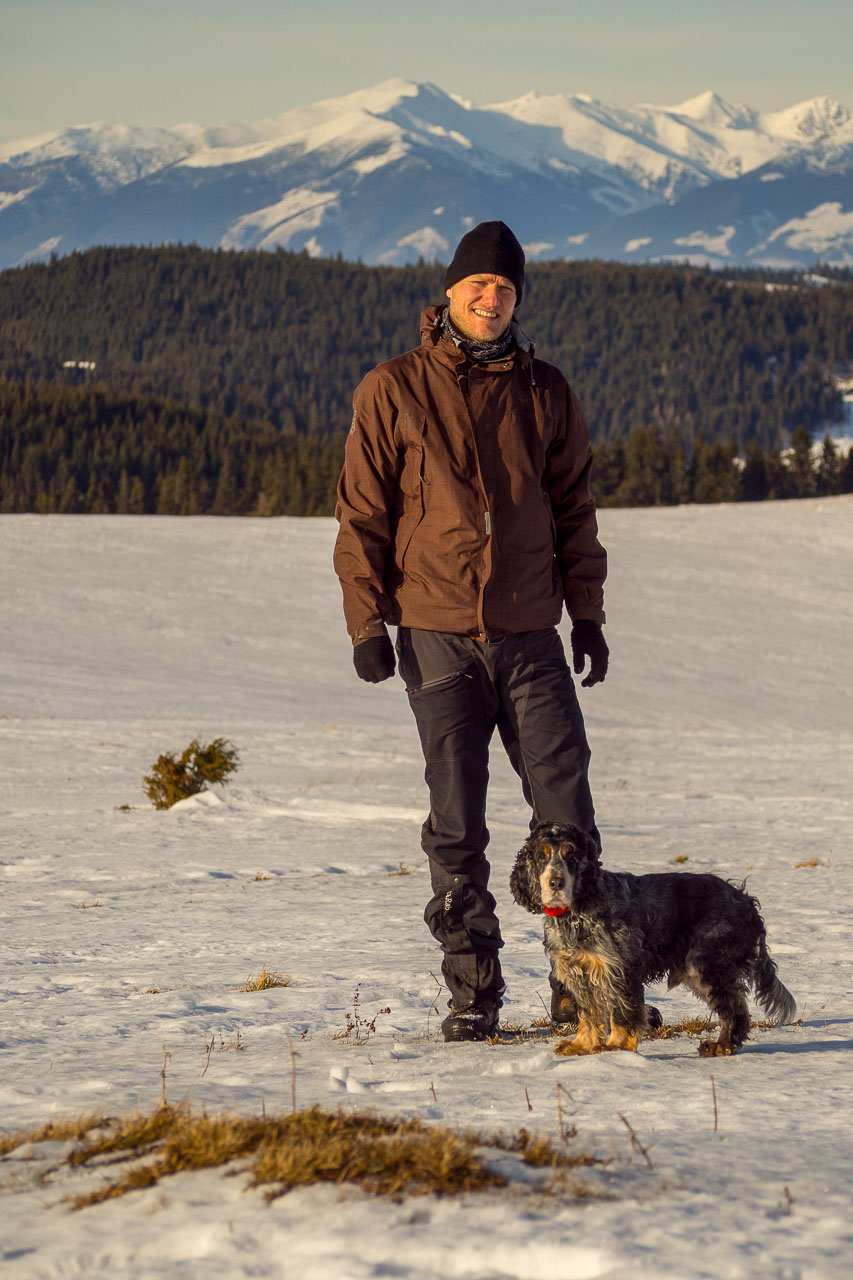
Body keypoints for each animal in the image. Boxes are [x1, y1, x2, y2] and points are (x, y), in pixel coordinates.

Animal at [507, 824, 794, 1054]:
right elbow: (588, 1014)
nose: (556, 882)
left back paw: (720, 1046)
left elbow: (622, 1013)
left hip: (706, 964)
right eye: (541, 855)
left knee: (735, 1010)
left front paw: (617, 1047)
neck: (577, 914)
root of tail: (746, 902)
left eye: (571, 855)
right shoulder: (580, 973)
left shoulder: (619, 970)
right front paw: (581, 1045)